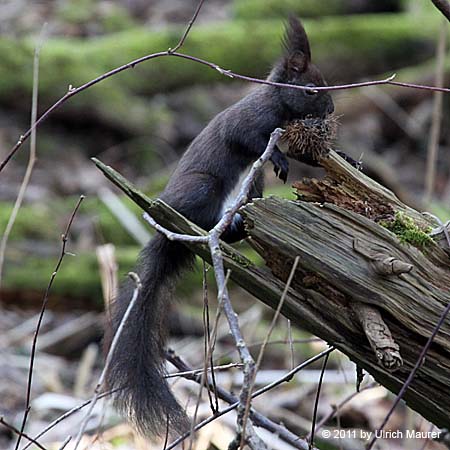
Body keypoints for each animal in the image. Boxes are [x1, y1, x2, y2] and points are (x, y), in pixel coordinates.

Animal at [104, 16, 334, 436]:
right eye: (311, 88)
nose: (330, 108)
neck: (275, 105)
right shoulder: (247, 123)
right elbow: (248, 139)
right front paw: (278, 157)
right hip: (203, 187)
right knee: (201, 215)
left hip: (251, 190)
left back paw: (237, 227)